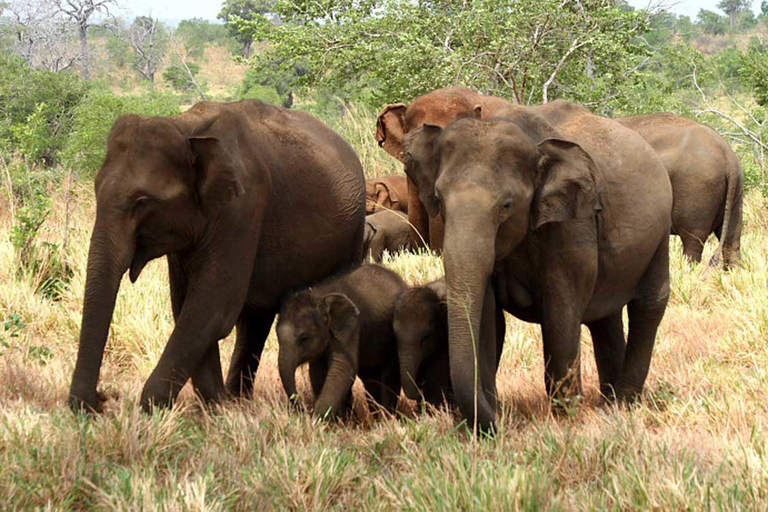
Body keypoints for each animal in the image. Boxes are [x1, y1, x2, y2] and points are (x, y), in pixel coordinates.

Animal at [67, 99, 366, 412]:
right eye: (96, 189)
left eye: (142, 202)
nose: (101, 400)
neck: (185, 126)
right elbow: (188, 306)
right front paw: (217, 407)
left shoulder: (241, 210)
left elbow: (213, 307)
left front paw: (152, 407)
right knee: (254, 321)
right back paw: (238, 399)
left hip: (353, 233)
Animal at [276, 264, 408, 420]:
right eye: (277, 335)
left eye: (304, 338)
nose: (303, 411)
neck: (318, 295)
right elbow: (317, 373)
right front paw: (341, 421)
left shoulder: (350, 328)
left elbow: (342, 369)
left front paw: (318, 421)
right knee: (371, 378)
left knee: (389, 377)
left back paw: (386, 418)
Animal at [402, 103, 672, 432]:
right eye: (439, 199)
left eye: (507, 204)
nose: (499, 424)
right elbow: (488, 316)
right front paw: (491, 413)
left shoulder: (571, 225)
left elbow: (560, 311)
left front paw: (567, 419)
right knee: (604, 318)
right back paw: (609, 404)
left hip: (660, 234)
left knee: (649, 305)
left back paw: (623, 403)